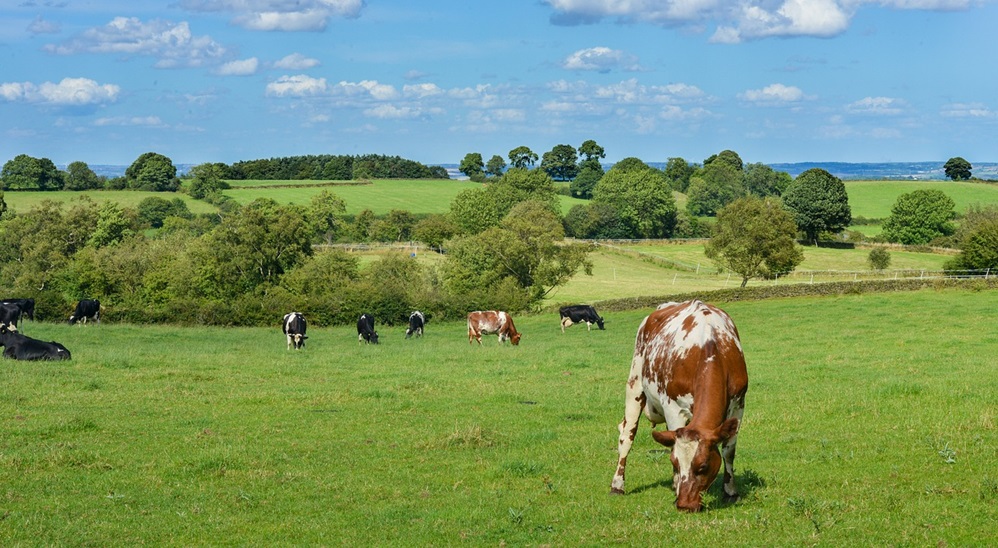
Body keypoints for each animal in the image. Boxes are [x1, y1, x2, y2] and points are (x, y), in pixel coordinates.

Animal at [608, 298, 752, 512]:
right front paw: (676, 485)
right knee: (626, 436)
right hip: (635, 383)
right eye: (675, 464)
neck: (710, 345)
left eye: (703, 466)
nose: (685, 505)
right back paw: (617, 485)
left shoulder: (738, 405)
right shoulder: (673, 408)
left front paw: (730, 492)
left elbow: (729, 451)